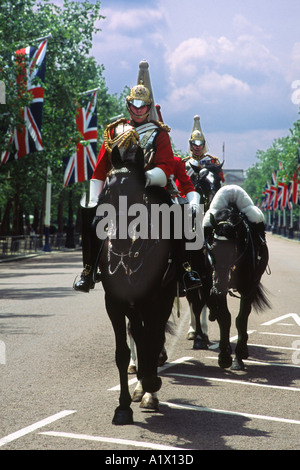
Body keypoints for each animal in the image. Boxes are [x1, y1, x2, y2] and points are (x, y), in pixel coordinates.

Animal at [98, 147, 177, 426]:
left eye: (137, 192)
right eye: (107, 190)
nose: (120, 241)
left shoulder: (154, 300)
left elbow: (153, 339)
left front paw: (151, 384)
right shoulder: (114, 303)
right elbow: (123, 352)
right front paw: (123, 407)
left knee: (154, 336)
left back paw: (149, 388)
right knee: (140, 336)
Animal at [204, 185, 272, 370]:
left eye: (232, 250)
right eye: (212, 248)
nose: (219, 285)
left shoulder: (248, 287)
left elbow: (241, 318)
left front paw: (239, 356)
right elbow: (224, 317)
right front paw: (224, 355)